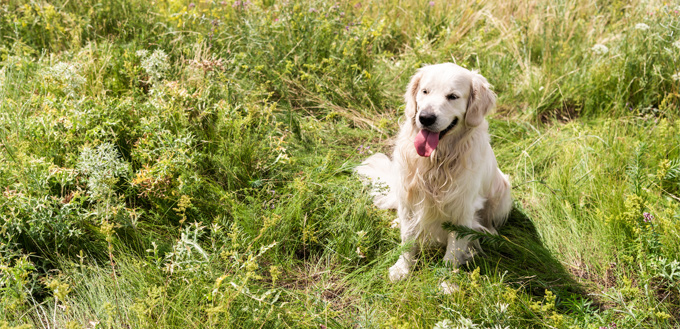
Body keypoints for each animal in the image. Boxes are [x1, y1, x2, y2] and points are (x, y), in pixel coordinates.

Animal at [356, 62, 510, 280]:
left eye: (453, 96)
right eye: (425, 91)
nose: (425, 117)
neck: (436, 160)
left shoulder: (462, 208)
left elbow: (453, 250)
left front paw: (448, 279)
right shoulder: (410, 199)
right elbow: (407, 239)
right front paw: (402, 268)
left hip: (504, 189)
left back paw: (488, 234)